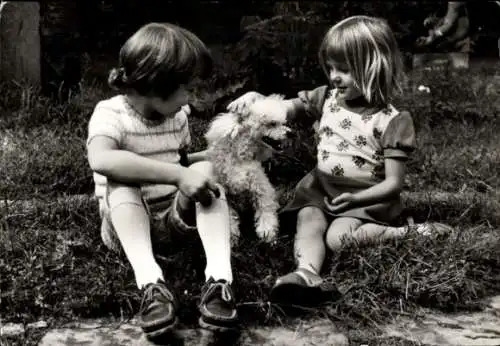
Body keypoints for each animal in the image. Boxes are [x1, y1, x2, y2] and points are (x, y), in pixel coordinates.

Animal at [203, 94, 290, 241]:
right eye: (272, 123)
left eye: (283, 122)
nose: (291, 133)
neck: (240, 157)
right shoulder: (225, 195)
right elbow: (229, 217)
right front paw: (231, 236)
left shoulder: (261, 188)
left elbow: (266, 207)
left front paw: (267, 231)